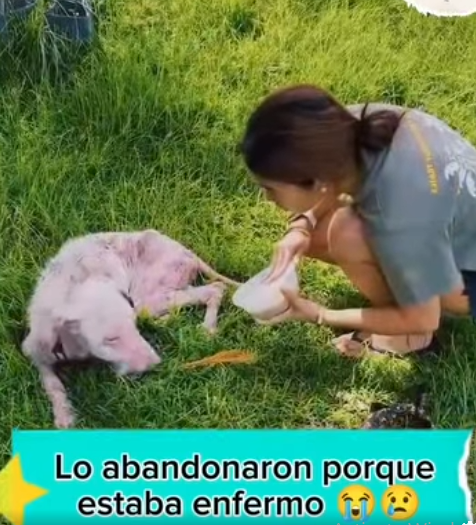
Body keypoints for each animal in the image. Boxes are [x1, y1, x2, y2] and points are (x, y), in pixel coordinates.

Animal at [22, 229, 239, 428]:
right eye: (110, 339)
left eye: (132, 327)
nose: (156, 365)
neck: (70, 290)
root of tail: (187, 252)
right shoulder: (35, 349)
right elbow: (53, 384)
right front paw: (64, 414)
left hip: (148, 299)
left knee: (216, 288)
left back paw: (208, 328)